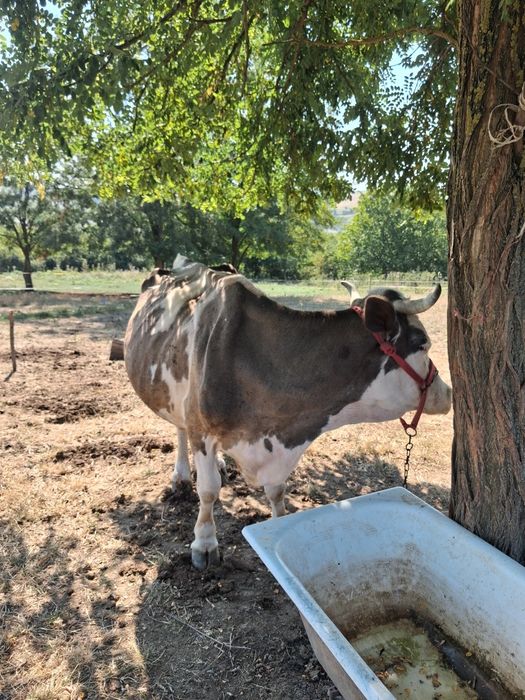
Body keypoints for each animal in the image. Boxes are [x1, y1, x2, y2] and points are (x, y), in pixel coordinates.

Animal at [124, 256, 451, 569]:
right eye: (423, 343)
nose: (447, 393)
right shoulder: (201, 428)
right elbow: (208, 490)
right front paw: (204, 544)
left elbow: (276, 491)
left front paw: (277, 525)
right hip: (178, 399)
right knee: (179, 428)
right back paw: (180, 477)